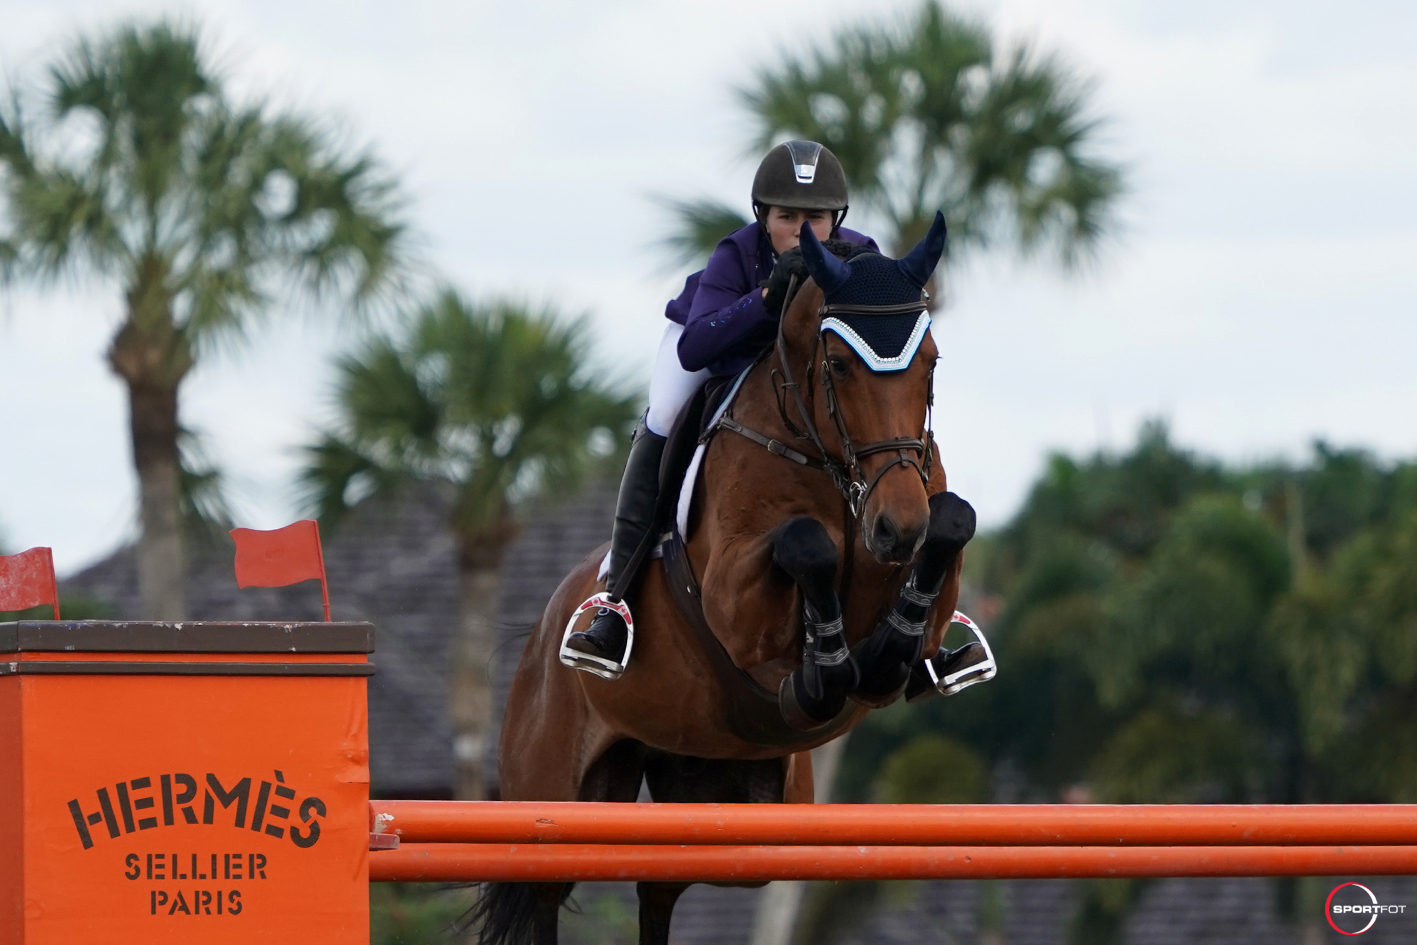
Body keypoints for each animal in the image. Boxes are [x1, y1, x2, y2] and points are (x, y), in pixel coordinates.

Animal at [476, 213, 974, 945]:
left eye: (931, 361)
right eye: (837, 364)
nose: (895, 528)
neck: (828, 459)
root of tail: (538, 636)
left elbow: (952, 522)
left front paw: (883, 652)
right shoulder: (732, 598)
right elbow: (805, 545)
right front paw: (825, 669)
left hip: (717, 806)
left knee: (660, 886)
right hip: (553, 800)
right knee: (546, 891)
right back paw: (602, 631)